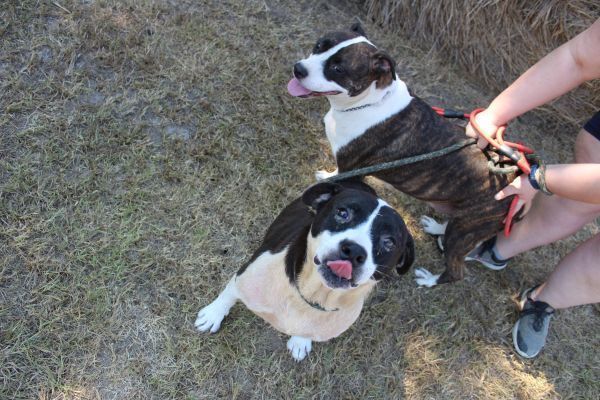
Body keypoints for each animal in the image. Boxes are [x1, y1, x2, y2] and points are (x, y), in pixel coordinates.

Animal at [196, 180, 412, 360]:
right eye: (343, 213)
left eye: (389, 242)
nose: (354, 251)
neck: (311, 295)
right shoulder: (245, 279)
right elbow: (228, 295)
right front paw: (213, 315)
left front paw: (300, 342)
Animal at [288, 23, 516, 288]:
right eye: (319, 46)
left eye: (338, 69)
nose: (299, 69)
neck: (370, 101)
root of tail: (512, 182)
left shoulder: (350, 168)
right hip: (463, 221)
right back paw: (436, 227)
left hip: (465, 230)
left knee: (457, 270)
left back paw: (430, 280)